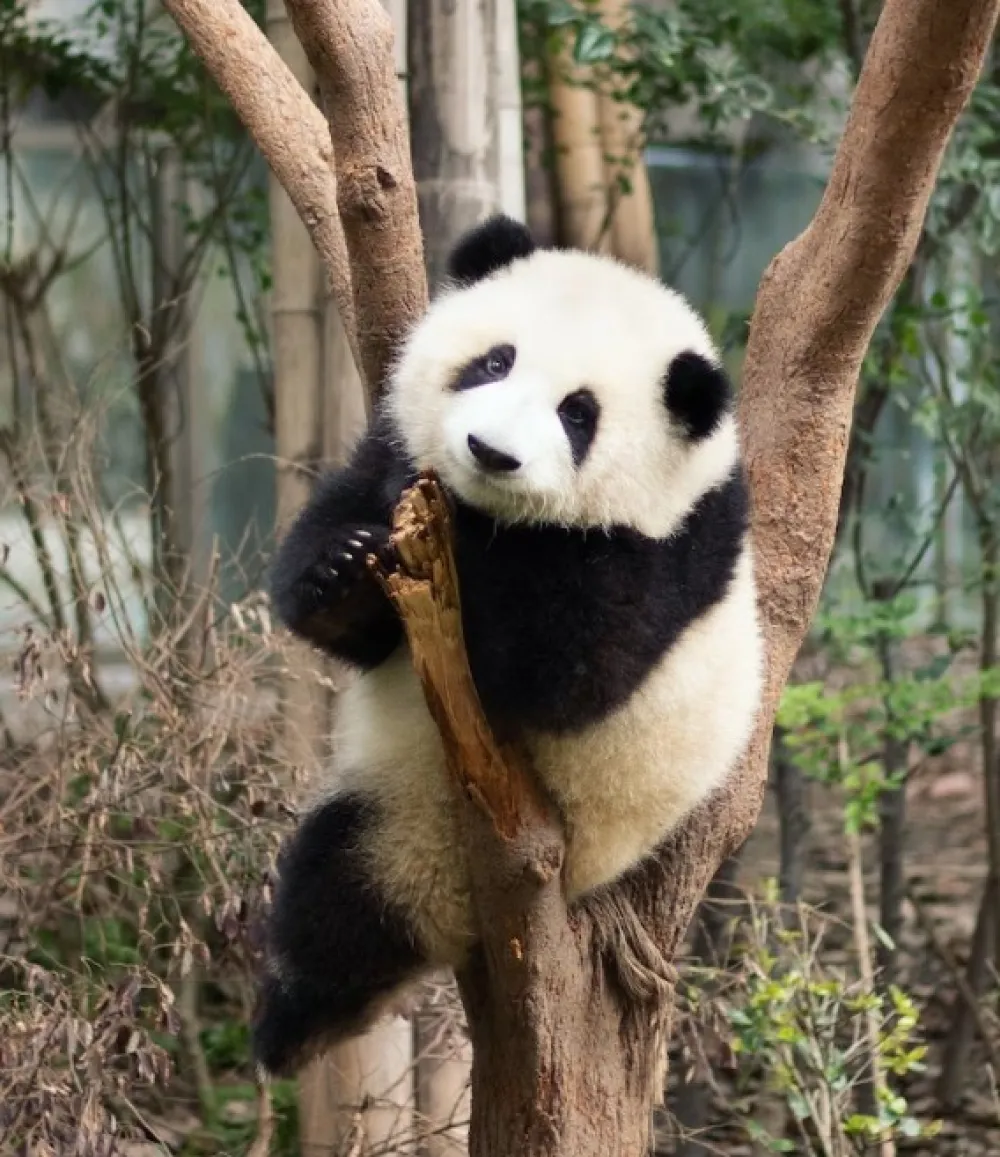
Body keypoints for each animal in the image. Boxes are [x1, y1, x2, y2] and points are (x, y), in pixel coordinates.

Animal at [253, 215, 763, 1075]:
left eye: (578, 413)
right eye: (495, 360)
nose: (489, 451)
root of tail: (453, 909)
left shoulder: (659, 549)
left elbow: (569, 671)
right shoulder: (393, 446)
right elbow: (348, 567)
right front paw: (344, 566)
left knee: (336, 902)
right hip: (394, 807)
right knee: (329, 901)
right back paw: (297, 1025)